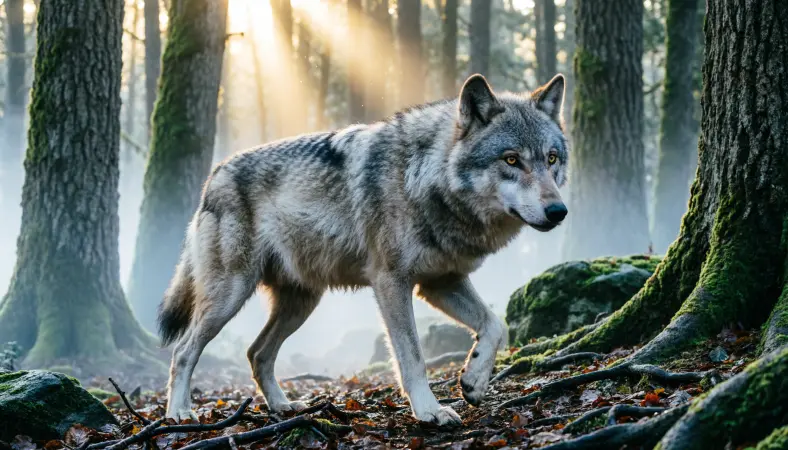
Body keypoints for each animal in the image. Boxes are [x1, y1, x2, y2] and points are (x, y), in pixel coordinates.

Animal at [159, 73, 568, 426]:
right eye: (511, 159)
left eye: (551, 158)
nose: (558, 211)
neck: (423, 177)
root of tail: (214, 176)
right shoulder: (392, 283)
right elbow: (413, 356)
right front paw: (430, 411)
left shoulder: (441, 282)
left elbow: (496, 325)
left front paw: (474, 380)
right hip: (230, 295)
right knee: (183, 350)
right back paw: (180, 413)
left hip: (301, 303)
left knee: (257, 353)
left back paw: (283, 406)